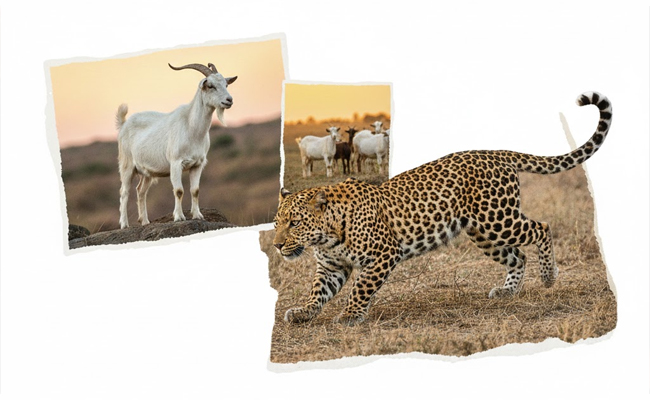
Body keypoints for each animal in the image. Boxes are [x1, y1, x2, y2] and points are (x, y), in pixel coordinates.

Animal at [116, 62, 237, 229]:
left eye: (226, 84)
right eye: (210, 86)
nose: (229, 100)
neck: (191, 128)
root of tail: (124, 124)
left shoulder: (198, 164)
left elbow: (195, 190)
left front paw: (198, 215)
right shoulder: (175, 163)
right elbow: (179, 190)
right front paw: (179, 217)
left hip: (147, 172)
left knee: (140, 191)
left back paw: (145, 222)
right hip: (126, 165)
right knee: (124, 192)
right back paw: (124, 224)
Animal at [273, 92, 612, 326]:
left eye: (294, 223)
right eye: (276, 224)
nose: (276, 246)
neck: (327, 235)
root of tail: (495, 152)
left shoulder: (384, 254)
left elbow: (361, 287)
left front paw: (350, 315)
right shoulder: (331, 266)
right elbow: (317, 291)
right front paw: (302, 312)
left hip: (499, 220)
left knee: (542, 228)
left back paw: (549, 275)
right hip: (484, 233)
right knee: (518, 256)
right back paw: (507, 292)